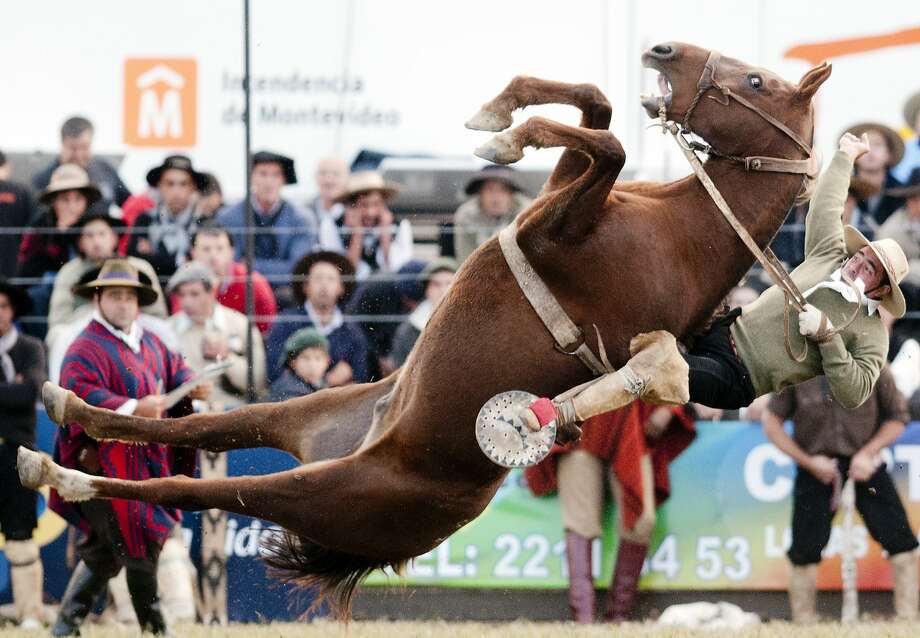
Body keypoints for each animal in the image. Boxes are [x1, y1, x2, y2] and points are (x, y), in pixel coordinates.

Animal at [18, 41, 832, 620]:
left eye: (757, 82)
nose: (663, 50)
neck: (679, 226)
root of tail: (365, 440)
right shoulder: (559, 201)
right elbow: (598, 118)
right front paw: (499, 114)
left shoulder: (566, 225)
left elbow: (610, 145)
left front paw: (505, 139)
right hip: (308, 408)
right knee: (196, 429)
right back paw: (70, 410)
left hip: (322, 489)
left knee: (194, 489)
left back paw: (64, 471)